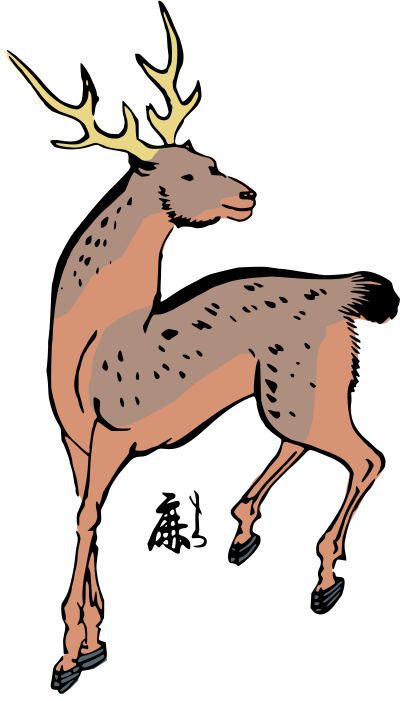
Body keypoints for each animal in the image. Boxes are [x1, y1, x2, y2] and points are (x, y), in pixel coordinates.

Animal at [7, 12, 390, 696]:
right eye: (187, 173)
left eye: (210, 160)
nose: (247, 194)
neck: (91, 343)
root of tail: (342, 295)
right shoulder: (77, 438)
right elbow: (86, 515)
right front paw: (93, 646)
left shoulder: (116, 429)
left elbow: (87, 519)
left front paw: (67, 659)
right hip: (293, 392)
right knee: (306, 446)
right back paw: (242, 532)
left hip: (296, 393)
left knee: (364, 457)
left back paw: (324, 580)